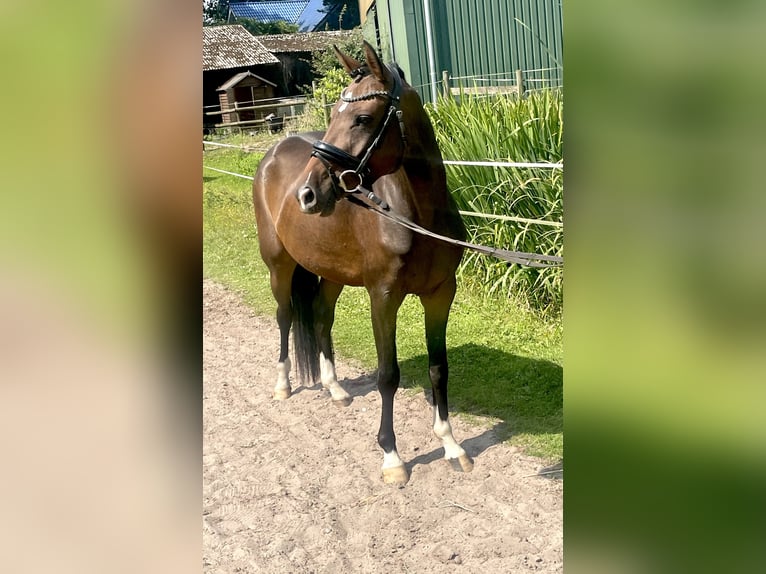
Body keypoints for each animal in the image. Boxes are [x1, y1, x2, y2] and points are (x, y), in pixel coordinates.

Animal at [252, 40, 474, 486]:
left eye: (363, 118)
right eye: (334, 115)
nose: (307, 194)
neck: (416, 215)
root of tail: (273, 152)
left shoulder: (441, 294)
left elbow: (439, 367)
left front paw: (451, 444)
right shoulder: (383, 297)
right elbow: (387, 375)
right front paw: (391, 456)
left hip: (331, 272)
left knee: (321, 316)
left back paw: (335, 388)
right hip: (279, 265)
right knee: (285, 317)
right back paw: (283, 384)